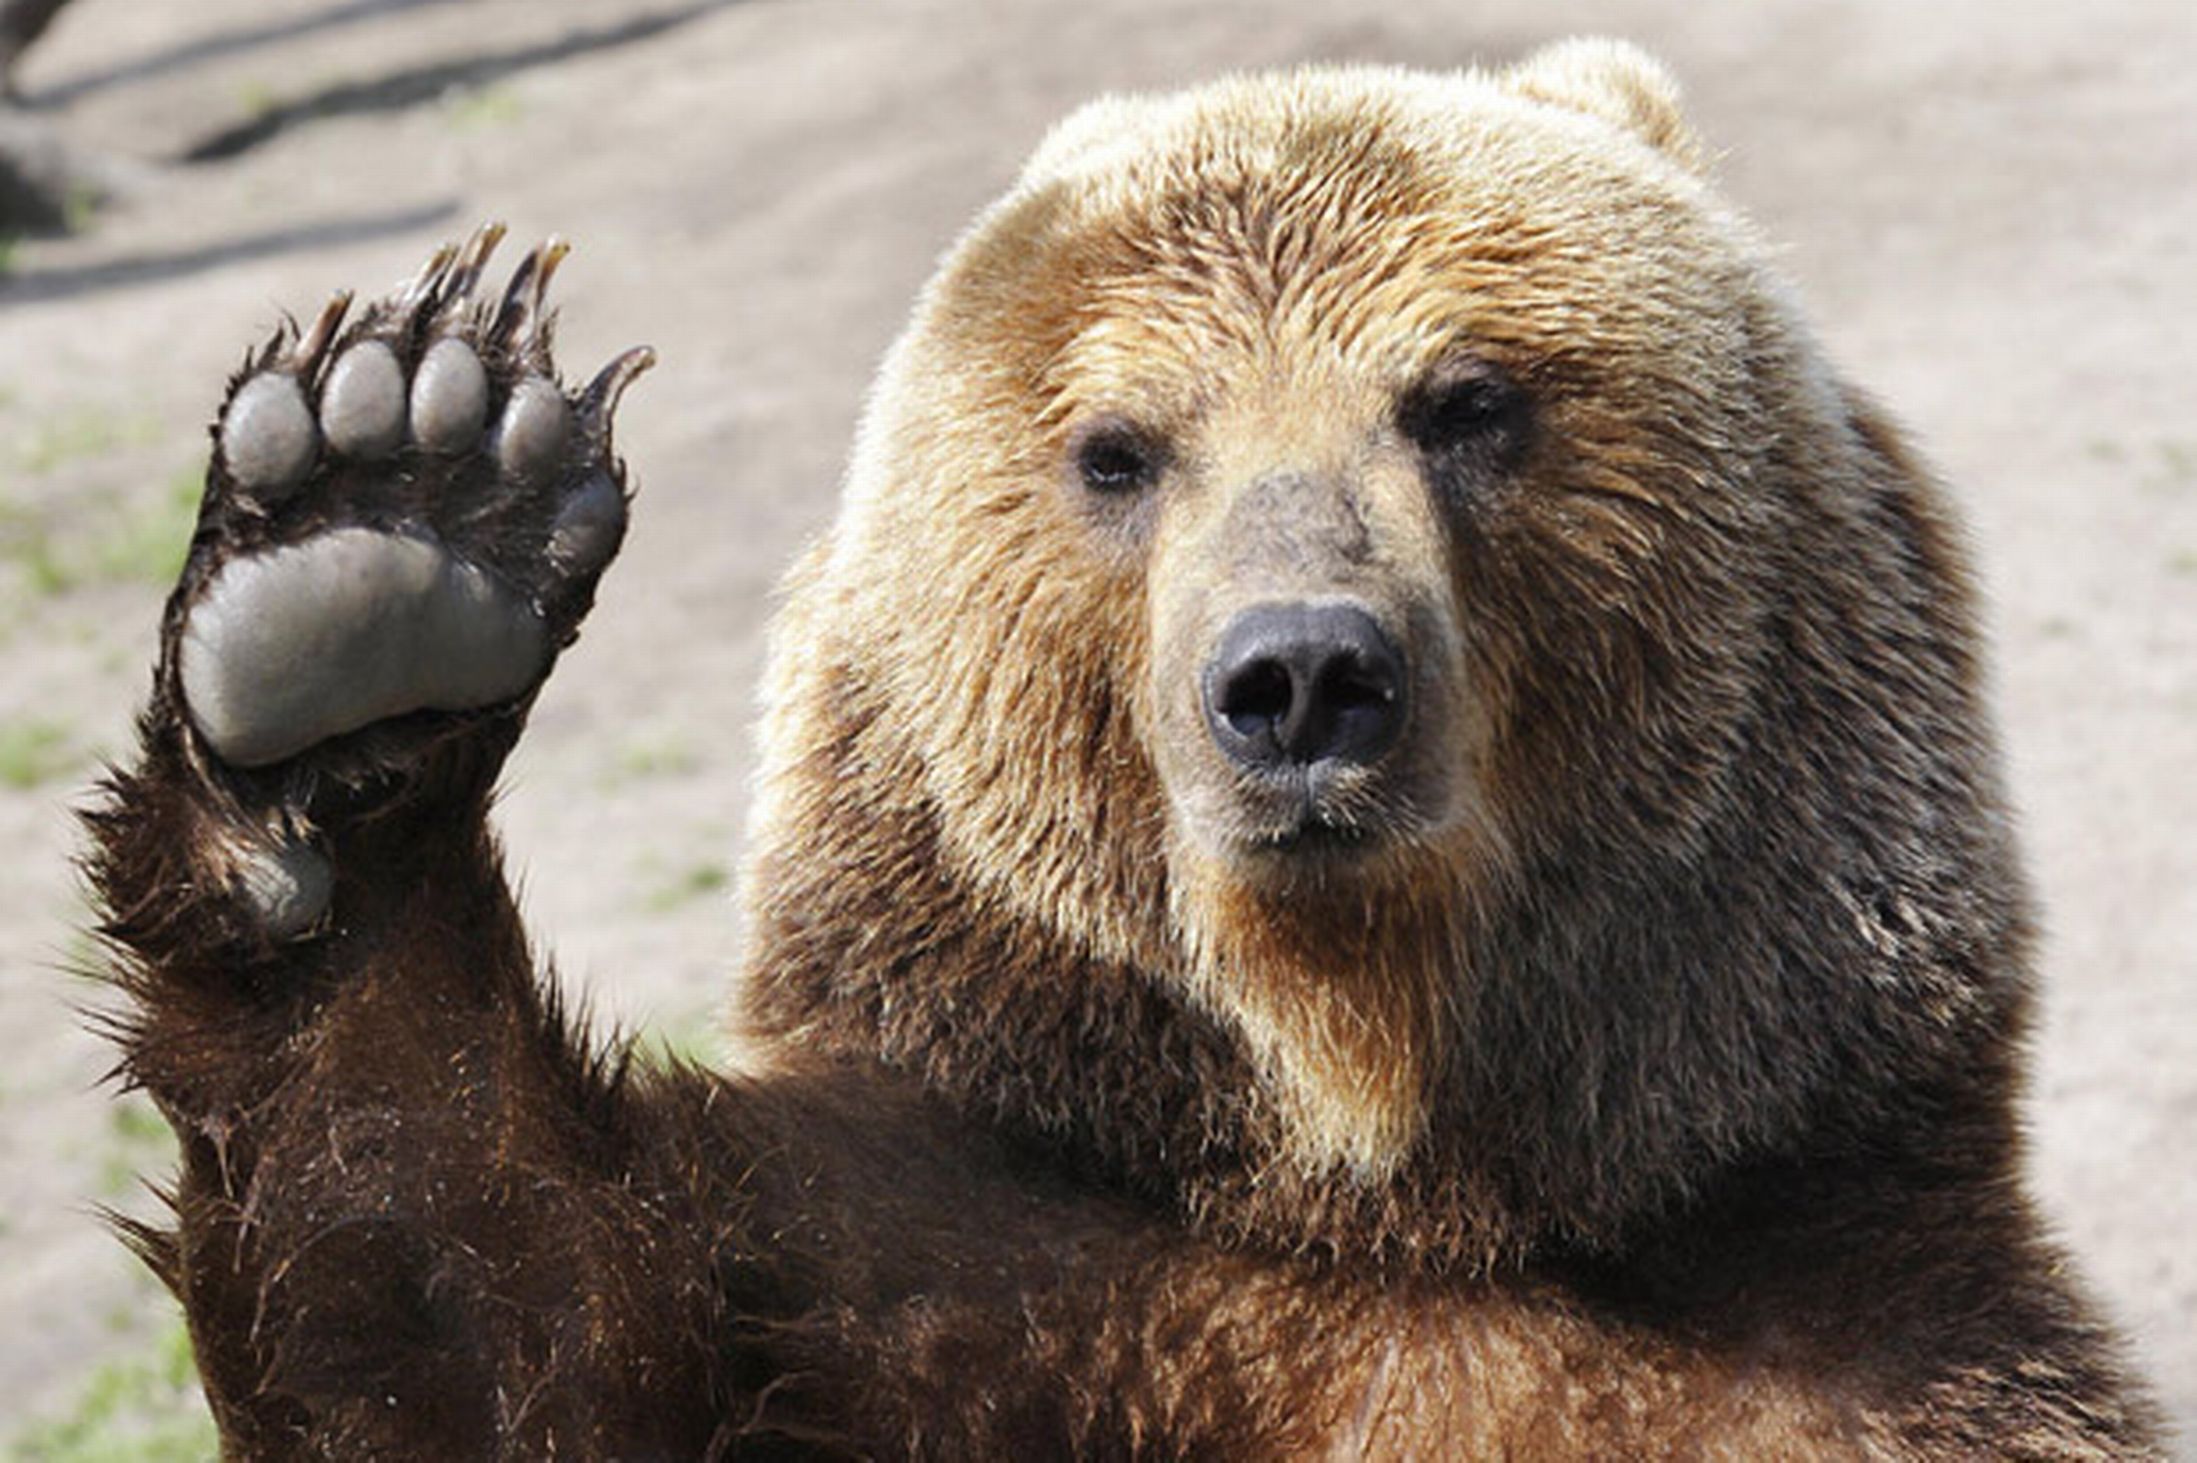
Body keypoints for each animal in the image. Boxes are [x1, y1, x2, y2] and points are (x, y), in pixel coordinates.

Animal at [90, 39, 2161, 1449]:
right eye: (1116, 447)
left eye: (1464, 397)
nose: (1305, 676)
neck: (1383, 1171)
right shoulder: (943, 1272)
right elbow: (477, 1306)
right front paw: (382, 533)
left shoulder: (1860, 1344)